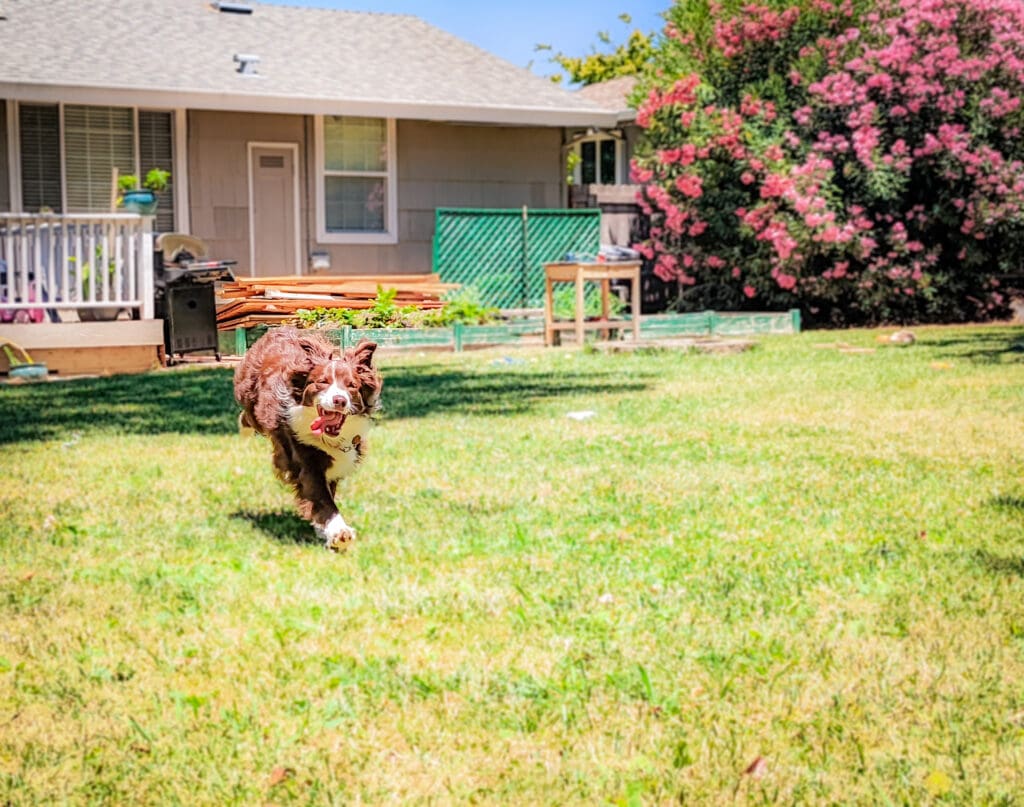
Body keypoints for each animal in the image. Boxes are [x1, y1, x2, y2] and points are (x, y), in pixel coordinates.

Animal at [234, 325, 382, 548]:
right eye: (322, 382)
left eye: (351, 385)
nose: (339, 400)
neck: (330, 438)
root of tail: (276, 329)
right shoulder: (306, 459)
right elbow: (322, 497)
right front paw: (339, 532)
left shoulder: (334, 466)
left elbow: (325, 495)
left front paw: (323, 530)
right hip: (251, 401)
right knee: (247, 417)